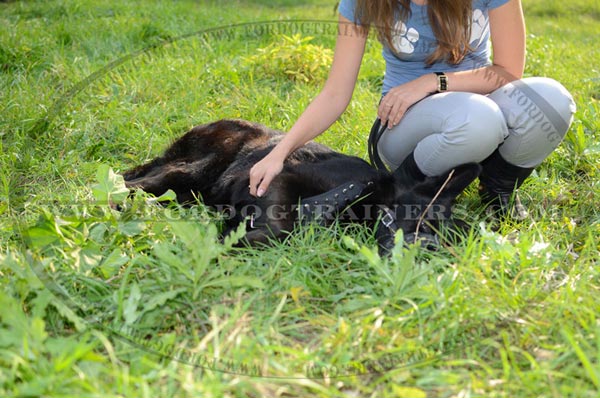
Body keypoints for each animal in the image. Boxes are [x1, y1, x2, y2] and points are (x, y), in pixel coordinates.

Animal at [123, 119, 482, 253]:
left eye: (450, 240)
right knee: (142, 182)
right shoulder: (279, 178)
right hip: (195, 170)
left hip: (191, 190)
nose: (432, 248)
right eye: (426, 220)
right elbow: (280, 225)